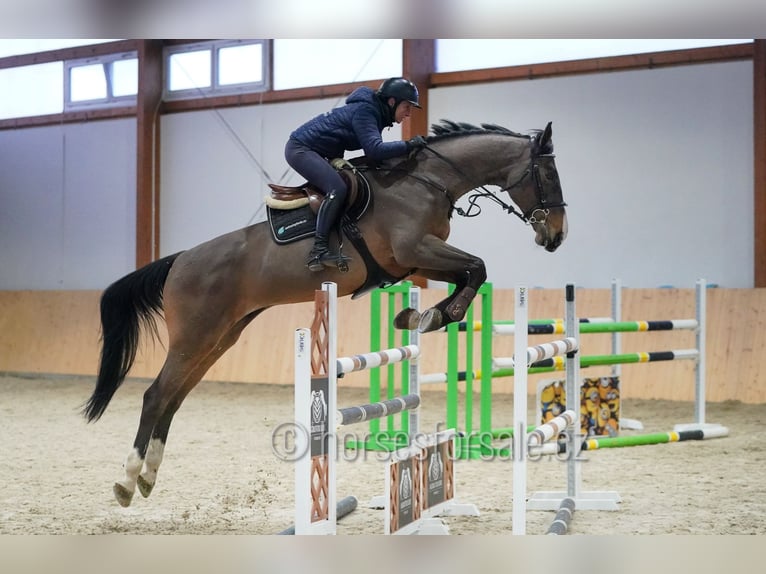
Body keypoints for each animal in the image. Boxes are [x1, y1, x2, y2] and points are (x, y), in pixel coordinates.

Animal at [83, 120, 568, 507]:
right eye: (548, 173)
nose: (556, 236)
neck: (427, 181)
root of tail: (179, 260)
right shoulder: (415, 249)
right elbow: (477, 266)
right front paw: (430, 316)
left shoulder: (417, 262)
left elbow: (471, 272)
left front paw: (420, 317)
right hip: (196, 335)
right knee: (156, 395)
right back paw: (127, 481)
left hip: (221, 337)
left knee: (174, 397)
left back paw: (147, 477)